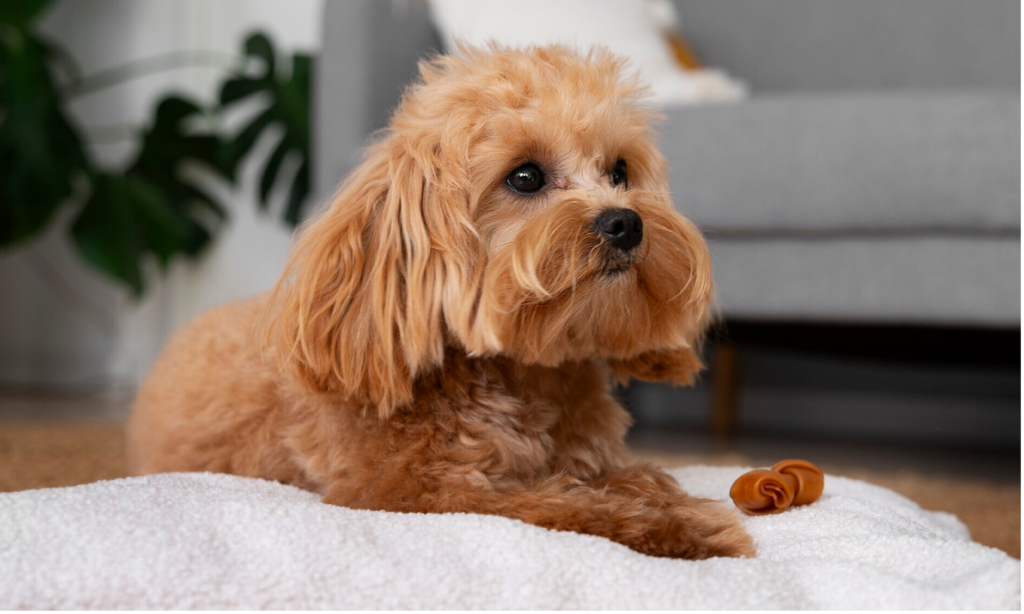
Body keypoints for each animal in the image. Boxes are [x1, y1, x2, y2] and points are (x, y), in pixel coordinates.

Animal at [125, 44, 753, 560]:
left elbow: (632, 474)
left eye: (620, 171)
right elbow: (556, 504)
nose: (625, 223)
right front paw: (682, 525)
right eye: (525, 176)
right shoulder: (417, 491)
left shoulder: (587, 456)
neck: (526, 376)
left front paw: (664, 495)